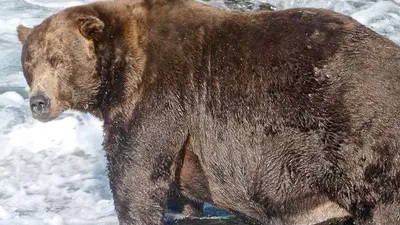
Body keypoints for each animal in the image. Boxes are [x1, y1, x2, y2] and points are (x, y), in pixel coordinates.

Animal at [17, 0, 400, 224]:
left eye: (58, 59)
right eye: (29, 63)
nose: (39, 102)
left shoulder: (160, 92)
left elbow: (136, 174)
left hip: (356, 138)